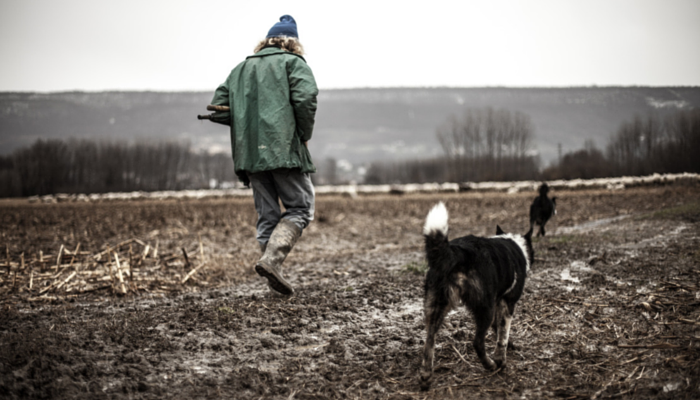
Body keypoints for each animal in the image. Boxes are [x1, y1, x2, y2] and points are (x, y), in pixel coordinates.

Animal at [418, 202, 532, 390]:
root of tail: (457, 252)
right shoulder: (507, 303)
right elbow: (503, 335)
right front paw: (501, 359)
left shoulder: (498, 302)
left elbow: (498, 329)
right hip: (484, 309)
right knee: (477, 342)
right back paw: (490, 365)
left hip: (436, 306)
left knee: (429, 340)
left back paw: (426, 376)